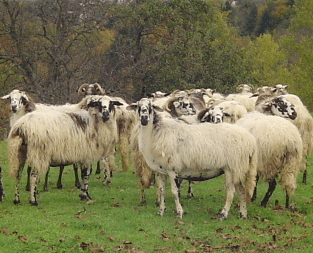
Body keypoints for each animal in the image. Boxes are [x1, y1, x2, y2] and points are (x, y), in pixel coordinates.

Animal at [125, 98, 258, 220]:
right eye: (138, 106)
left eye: (151, 106)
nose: (144, 118)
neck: (156, 134)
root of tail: (250, 140)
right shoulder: (160, 171)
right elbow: (162, 190)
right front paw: (161, 211)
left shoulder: (172, 169)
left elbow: (174, 192)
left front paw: (179, 212)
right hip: (237, 169)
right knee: (242, 191)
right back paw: (243, 214)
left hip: (232, 167)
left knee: (231, 192)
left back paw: (223, 214)